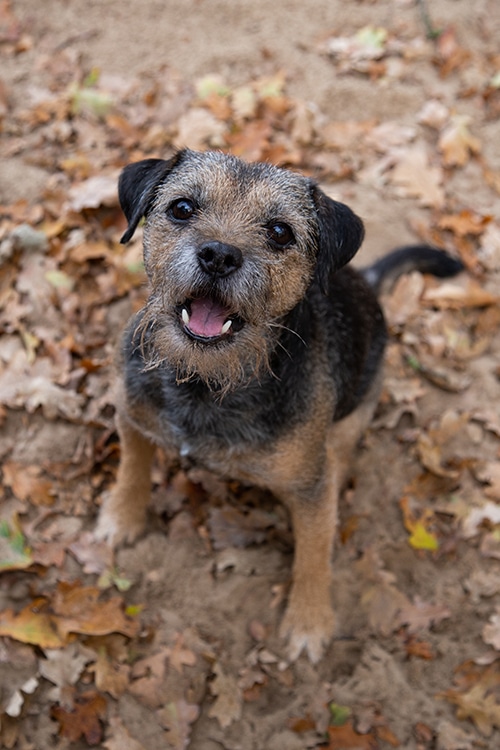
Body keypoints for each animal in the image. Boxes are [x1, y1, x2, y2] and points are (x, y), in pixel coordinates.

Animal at [95, 148, 462, 664]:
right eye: (182, 208)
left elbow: (314, 554)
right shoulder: (130, 413)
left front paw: (308, 621)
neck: (208, 383)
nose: (219, 255)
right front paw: (121, 517)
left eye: (280, 231)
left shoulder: (310, 489)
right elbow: (132, 467)